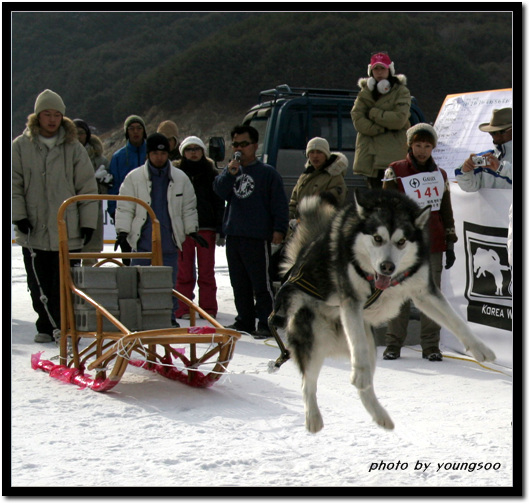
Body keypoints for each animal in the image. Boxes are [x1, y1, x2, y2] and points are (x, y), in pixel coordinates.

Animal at [270, 189, 492, 434]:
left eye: (401, 242)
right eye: (377, 238)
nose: (387, 267)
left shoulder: (424, 293)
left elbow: (456, 320)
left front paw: (480, 348)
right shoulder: (351, 300)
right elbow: (356, 343)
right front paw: (359, 373)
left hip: (369, 344)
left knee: (363, 388)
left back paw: (380, 416)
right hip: (315, 337)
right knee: (308, 382)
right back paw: (313, 417)